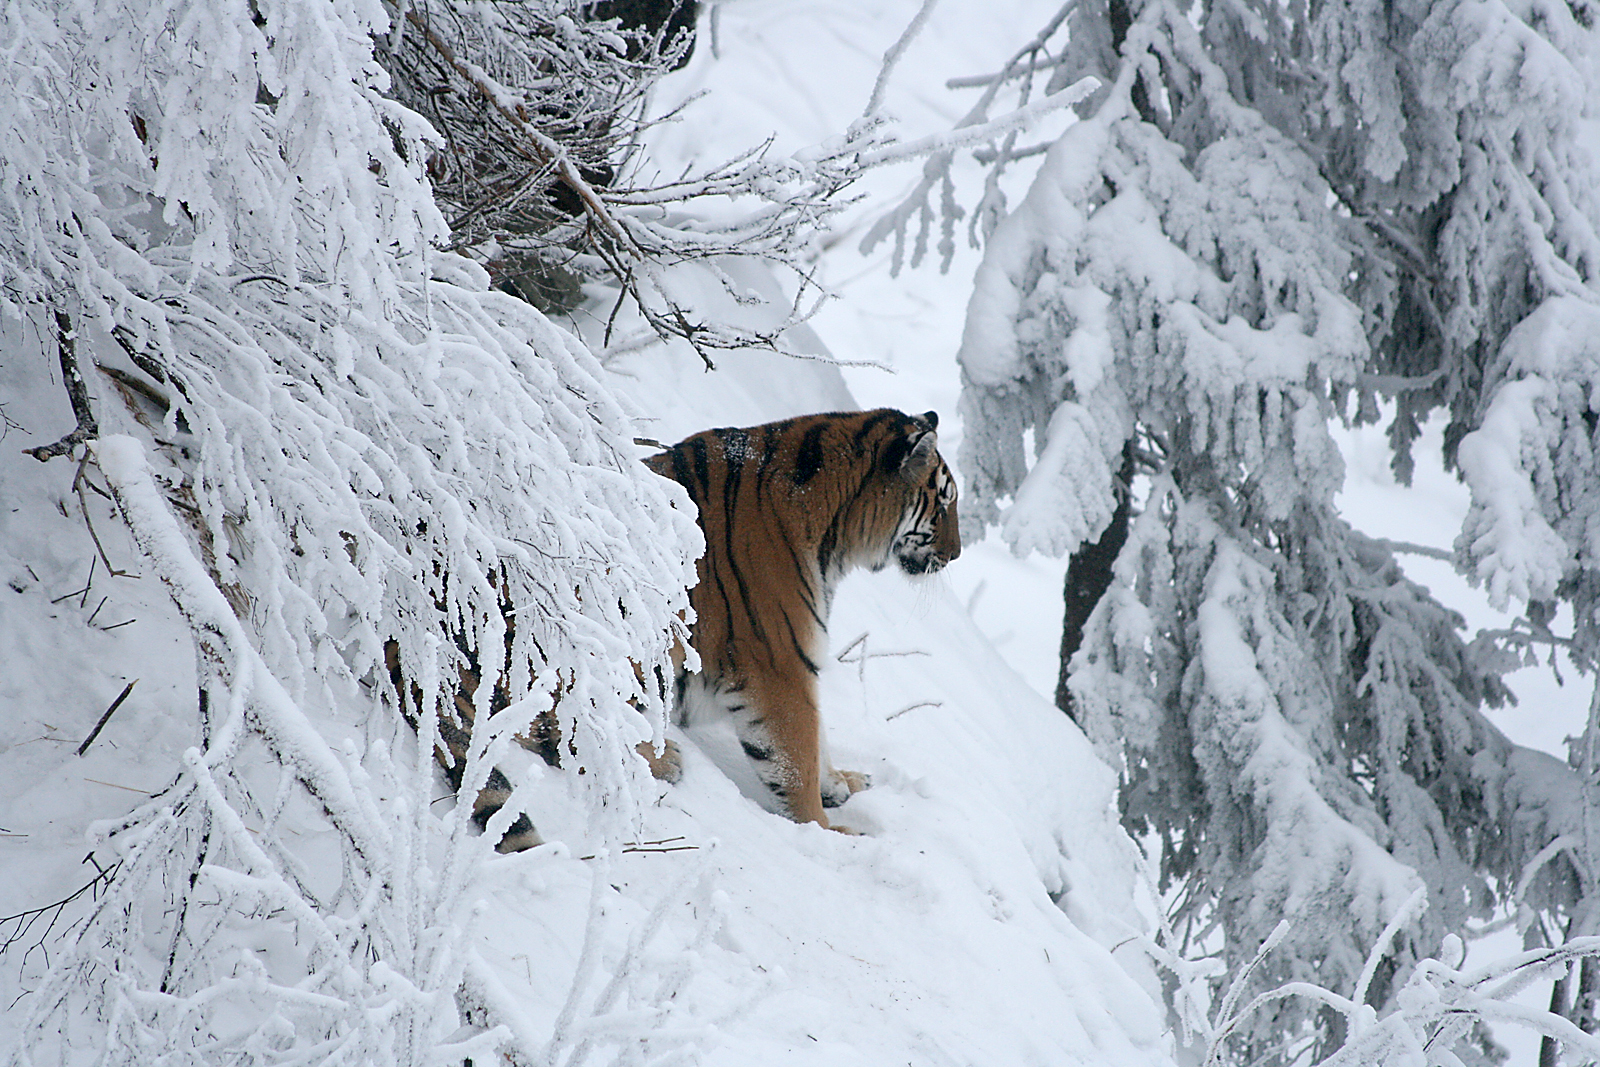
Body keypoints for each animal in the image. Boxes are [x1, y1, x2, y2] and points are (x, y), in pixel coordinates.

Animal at [392, 407, 961, 846]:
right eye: (945, 502)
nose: (955, 555)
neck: (833, 534)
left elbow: (817, 740)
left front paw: (840, 783)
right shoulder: (779, 662)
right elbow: (794, 754)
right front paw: (827, 832)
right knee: (551, 732)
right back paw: (659, 760)